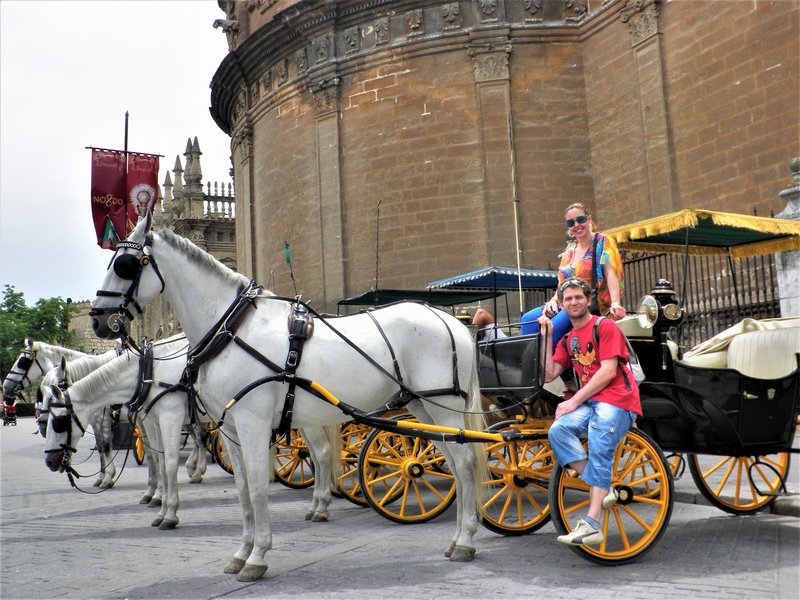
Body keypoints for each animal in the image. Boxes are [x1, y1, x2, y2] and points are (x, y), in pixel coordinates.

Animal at [88, 213, 488, 580]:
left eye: (124, 265)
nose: (97, 319)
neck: (232, 330)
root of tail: (449, 320)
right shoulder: (230, 428)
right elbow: (242, 490)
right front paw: (241, 552)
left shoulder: (252, 423)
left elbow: (257, 488)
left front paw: (257, 557)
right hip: (425, 408)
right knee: (455, 465)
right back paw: (456, 539)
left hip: (445, 407)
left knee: (466, 464)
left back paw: (467, 540)